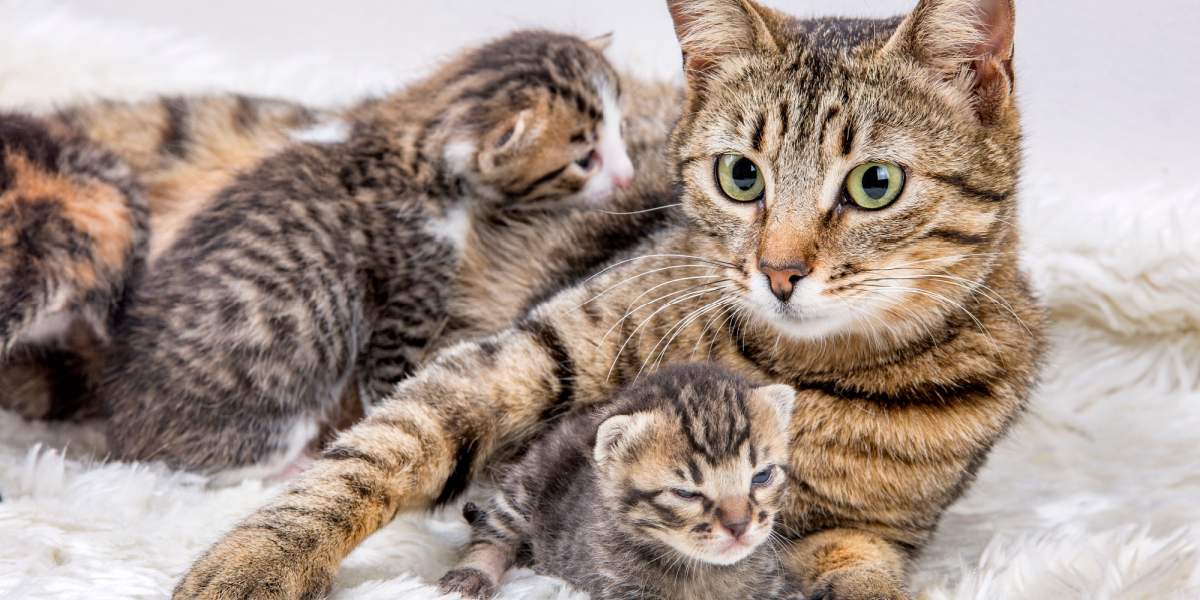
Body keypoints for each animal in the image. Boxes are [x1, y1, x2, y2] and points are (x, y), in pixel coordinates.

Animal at [84, 29, 638, 482]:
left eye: (621, 130)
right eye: (585, 160)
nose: (628, 176)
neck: (411, 136)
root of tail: (123, 435)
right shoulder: (411, 288)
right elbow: (389, 389)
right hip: (274, 416)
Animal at [434, 362, 796, 597]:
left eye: (761, 476)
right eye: (685, 493)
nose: (739, 526)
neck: (701, 570)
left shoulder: (777, 584)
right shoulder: (620, 588)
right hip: (524, 485)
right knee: (492, 531)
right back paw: (471, 574)